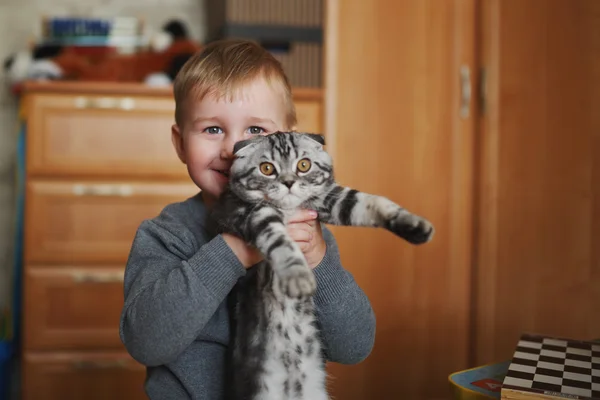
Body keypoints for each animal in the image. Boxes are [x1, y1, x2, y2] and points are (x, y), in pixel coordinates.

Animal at [209, 132, 434, 400]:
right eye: (267, 169)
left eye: (304, 165)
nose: (289, 182)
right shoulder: (249, 213)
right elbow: (280, 240)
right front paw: (297, 275)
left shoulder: (331, 198)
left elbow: (368, 201)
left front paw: (412, 223)